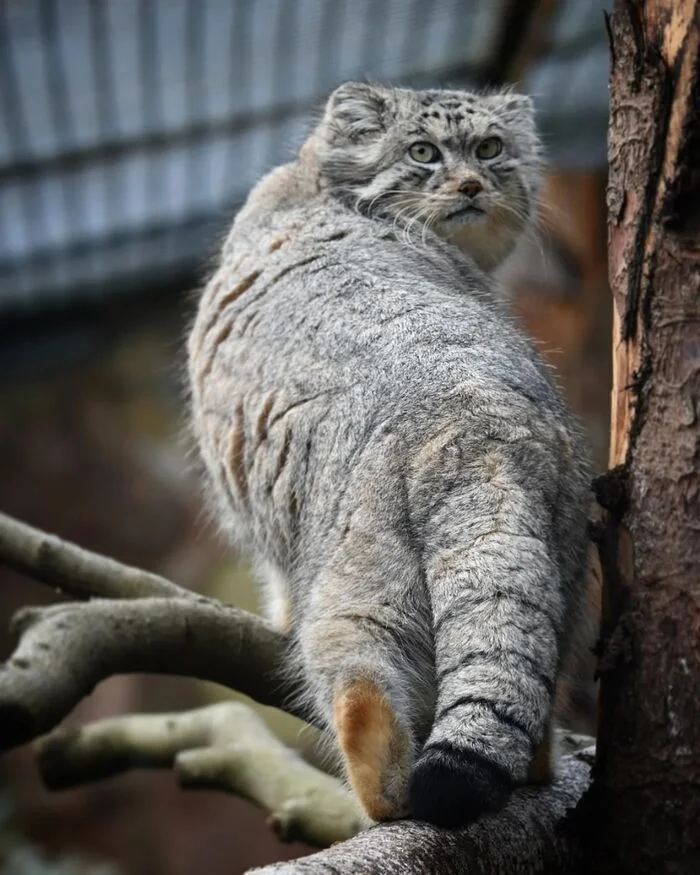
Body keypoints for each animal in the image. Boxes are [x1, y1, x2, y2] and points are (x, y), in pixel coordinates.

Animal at [186, 82, 592, 828]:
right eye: (423, 152)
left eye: (489, 148)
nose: (471, 183)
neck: (314, 182)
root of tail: (472, 423)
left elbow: (273, 575)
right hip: (554, 569)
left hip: (363, 573)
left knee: (359, 676)